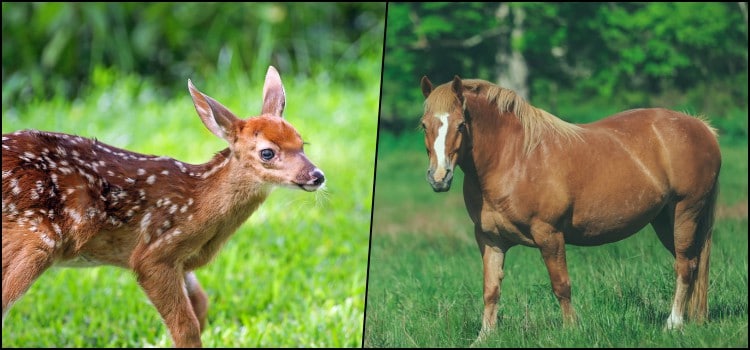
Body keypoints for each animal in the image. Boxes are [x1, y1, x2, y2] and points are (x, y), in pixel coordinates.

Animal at [424, 75, 724, 344]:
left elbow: (561, 285)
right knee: (694, 264)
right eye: (424, 124)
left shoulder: (549, 235)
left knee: (685, 265)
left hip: (686, 211)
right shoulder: (490, 239)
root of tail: (701, 127)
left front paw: (570, 331)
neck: (514, 158)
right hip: (664, 220)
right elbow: (491, 289)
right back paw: (694, 320)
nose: (439, 177)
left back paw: (673, 324)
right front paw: (484, 337)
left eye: (461, 125)